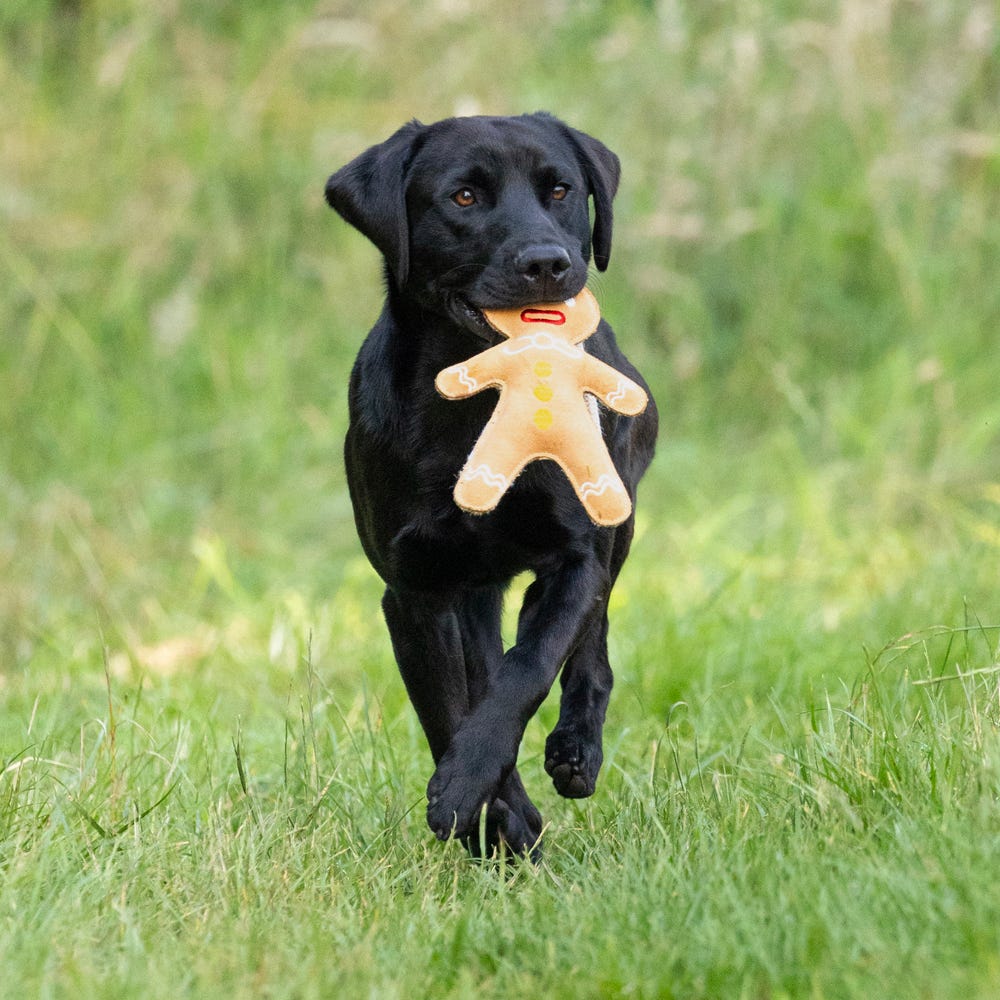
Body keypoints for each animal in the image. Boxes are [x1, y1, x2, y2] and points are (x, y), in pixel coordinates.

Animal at [324, 113, 660, 856]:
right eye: (464, 197)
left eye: (560, 190)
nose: (547, 263)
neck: (476, 406)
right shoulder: (416, 591)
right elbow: (450, 708)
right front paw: (493, 818)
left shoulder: (573, 558)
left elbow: (529, 667)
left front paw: (472, 790)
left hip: (617, 509)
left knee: (591, 641)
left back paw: (576, 749)